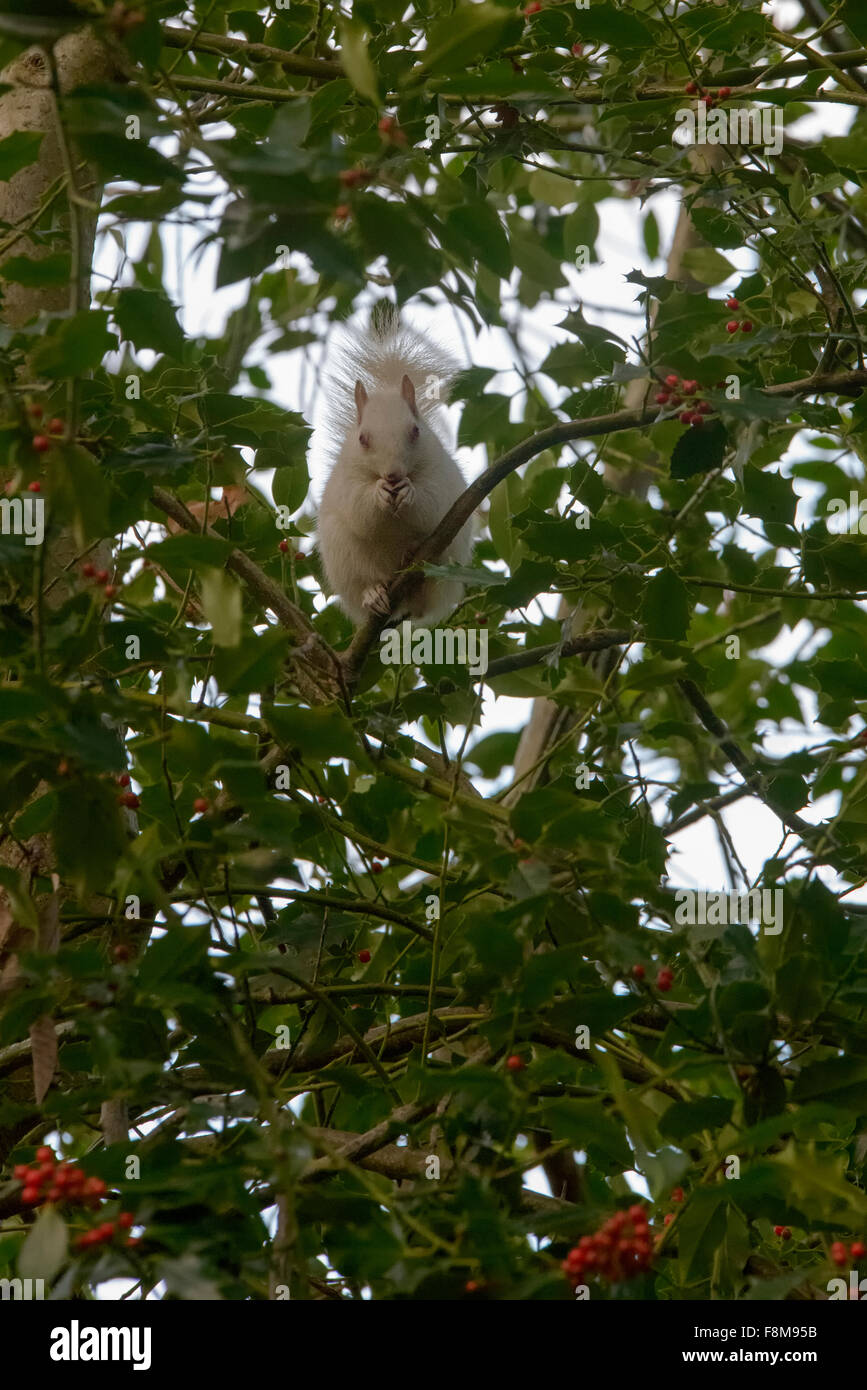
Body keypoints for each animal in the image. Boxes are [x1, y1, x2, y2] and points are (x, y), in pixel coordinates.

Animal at [316, 303, 473, 626]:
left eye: (415, 431)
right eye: (362, 439)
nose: (392, 475)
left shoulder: (439, 472)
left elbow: (433, 504)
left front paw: (410, 492)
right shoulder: (347, 479)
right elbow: (359, 510)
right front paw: (377, 493)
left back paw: (412, 556)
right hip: (344, 557)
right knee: (364, 582)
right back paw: (373, 594)